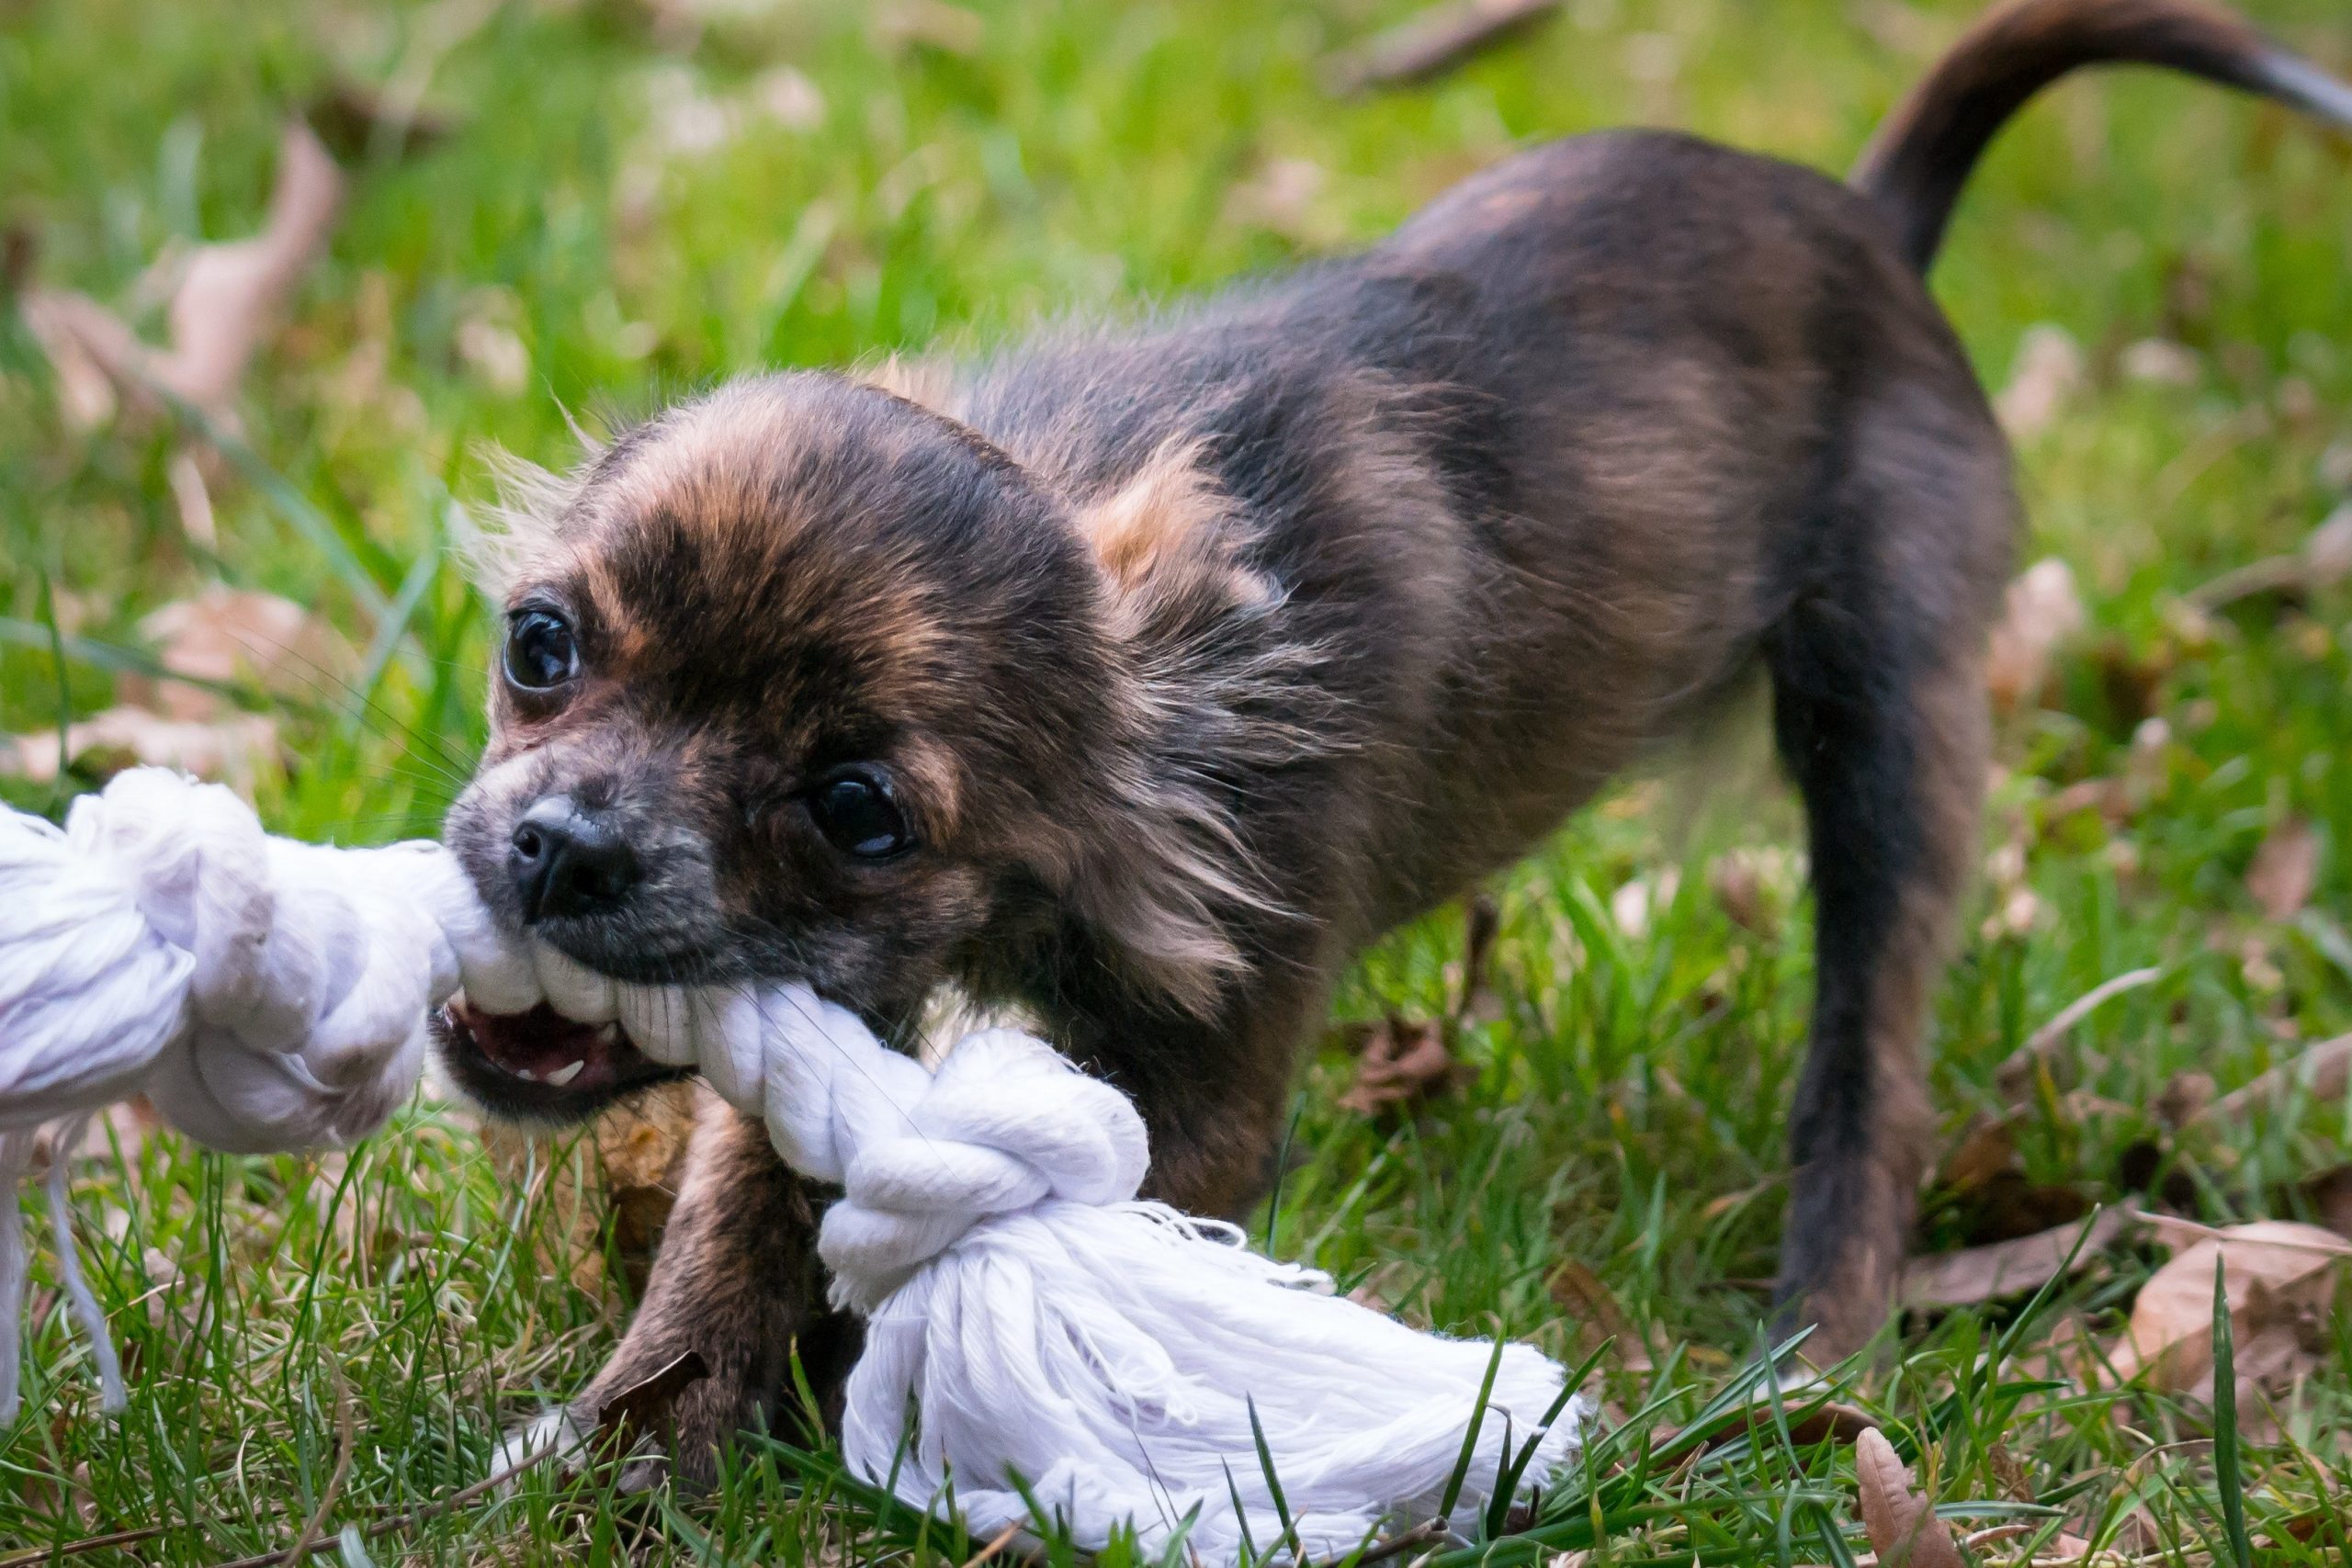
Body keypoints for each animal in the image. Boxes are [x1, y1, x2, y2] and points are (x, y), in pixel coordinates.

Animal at [437, 0, 2352, 1485]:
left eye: (858, 809)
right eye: (540, 646)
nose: (563, 848)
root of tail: (1875, 226)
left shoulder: (1205, 1080)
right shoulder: (838, 1012)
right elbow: (736, 1216)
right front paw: (638, 1450)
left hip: (1893, 730)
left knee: (1867, 1069)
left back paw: (1813, 1347)